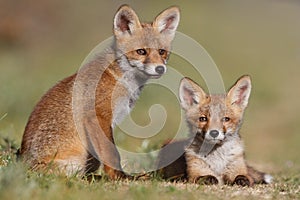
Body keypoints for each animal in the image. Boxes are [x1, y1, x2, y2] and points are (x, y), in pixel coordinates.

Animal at [18, 5, 180, 180]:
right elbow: (112, 154)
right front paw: (121, 178)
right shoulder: (97, 116)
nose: (160, 68)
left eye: (162, 52)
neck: (119, 78)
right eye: (141, 52)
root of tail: (25, 165)